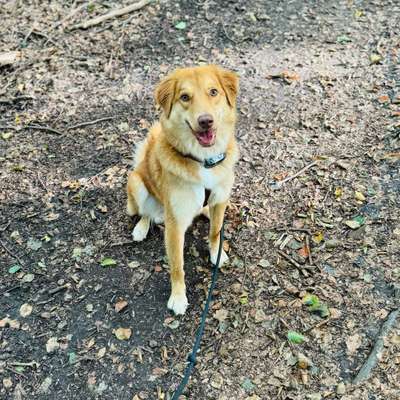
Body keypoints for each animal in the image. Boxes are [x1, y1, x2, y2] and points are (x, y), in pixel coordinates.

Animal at [126, 65, 238, 316]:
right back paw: (141, 227)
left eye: (213, 92)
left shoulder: (220, 198)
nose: (205, 121)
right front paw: (178, 298)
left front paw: (216, 254)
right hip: (136, 182)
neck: (203, 160)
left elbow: (215, 232)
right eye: (185, 97)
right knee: (145, 212)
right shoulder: (175, 224)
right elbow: (177, 265)